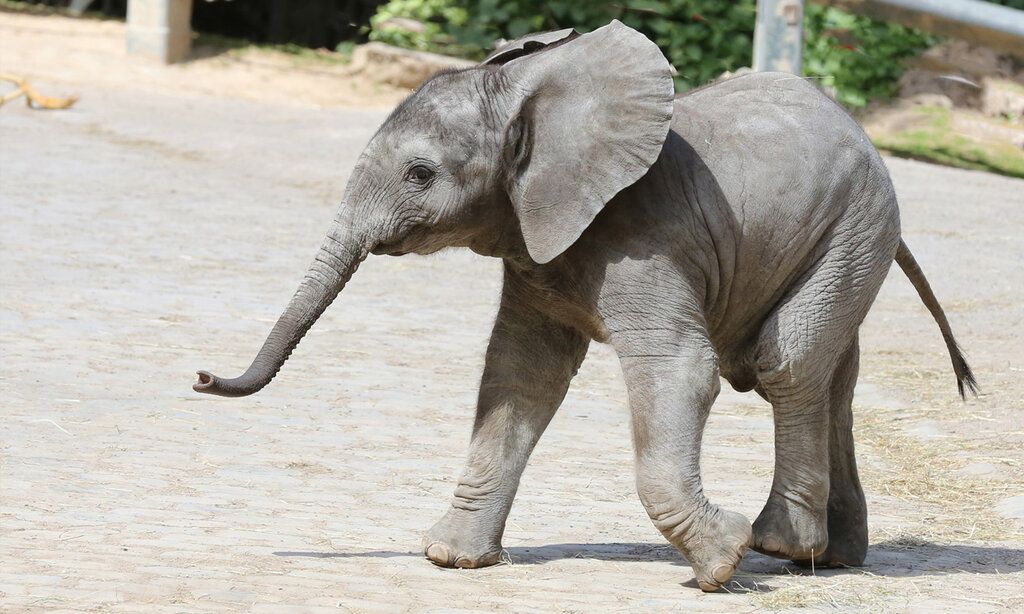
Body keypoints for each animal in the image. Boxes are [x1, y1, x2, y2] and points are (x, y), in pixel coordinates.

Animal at [193, 21, 976, 591]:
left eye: (419, 174)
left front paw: (721, 562)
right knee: (831, 377)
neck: (525, 95)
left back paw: (781, 545)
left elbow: (678, 369)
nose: (201, 377)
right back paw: (831, 557)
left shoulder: (645, 239)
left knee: (783, 361)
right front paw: (452, 560)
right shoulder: (537, 240)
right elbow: (519, 376)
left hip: (856, 225)